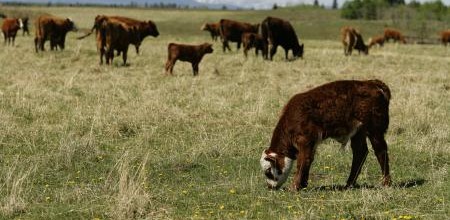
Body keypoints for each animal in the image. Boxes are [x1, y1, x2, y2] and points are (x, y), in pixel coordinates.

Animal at [260, 79, 390, 191]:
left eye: (268, 171)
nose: (270, 187)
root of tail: (372, 82)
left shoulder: (305, 140)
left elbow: (302, 161)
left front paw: (295, 186)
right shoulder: (312, 143)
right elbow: (308, 160)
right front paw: (303, 184)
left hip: (375, 130)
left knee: (381, 151)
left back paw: (385, 183)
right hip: (358, 131)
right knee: (360, 152)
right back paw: (349, 184)